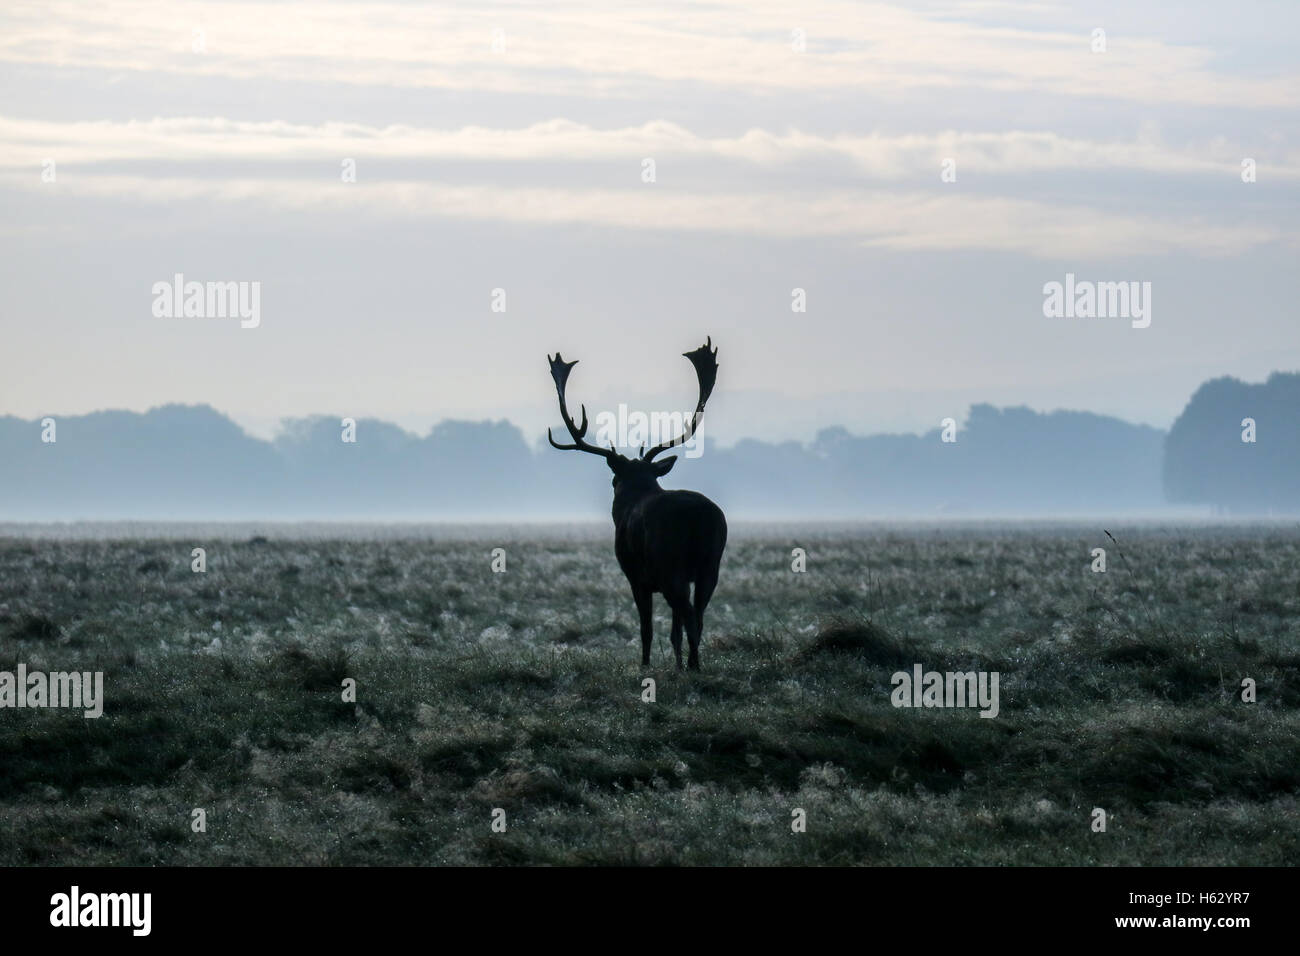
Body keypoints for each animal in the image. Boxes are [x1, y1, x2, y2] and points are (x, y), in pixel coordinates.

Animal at [543, 340, 728, 671]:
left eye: (613, 480)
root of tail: (699, 519)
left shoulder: (635, 576)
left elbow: (647, 627)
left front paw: (645, 665)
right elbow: (673, 631)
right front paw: (676, 665)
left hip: (669, 566)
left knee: (689, 614)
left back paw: (694, 665)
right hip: (711, 564)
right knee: (698, 614)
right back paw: (693, 664)